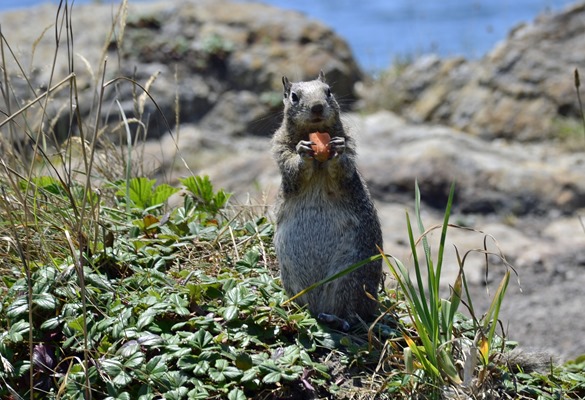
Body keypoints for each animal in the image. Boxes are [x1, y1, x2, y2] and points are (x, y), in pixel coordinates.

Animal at [272, 72, 384, 326]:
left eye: (329, 91)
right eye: (294, 96)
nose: (317, 106)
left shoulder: (350, 150)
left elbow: (344, 168)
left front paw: (337, 151)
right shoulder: (280, 151)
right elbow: (293, 169)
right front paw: (302, 152)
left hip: (352, 279)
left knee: (352, 314)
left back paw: (338, 319)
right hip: (291, 277)